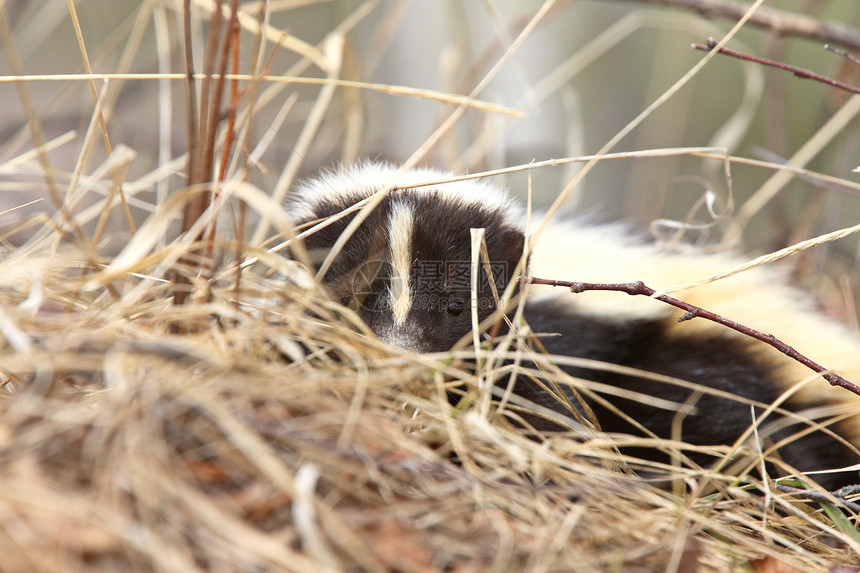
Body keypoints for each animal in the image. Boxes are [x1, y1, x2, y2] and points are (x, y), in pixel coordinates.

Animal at [288, 161, 860, 488]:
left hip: (710, 370)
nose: (399, 364)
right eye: (350, 296)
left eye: (456, 307)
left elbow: (549, 420)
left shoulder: (550, 354)